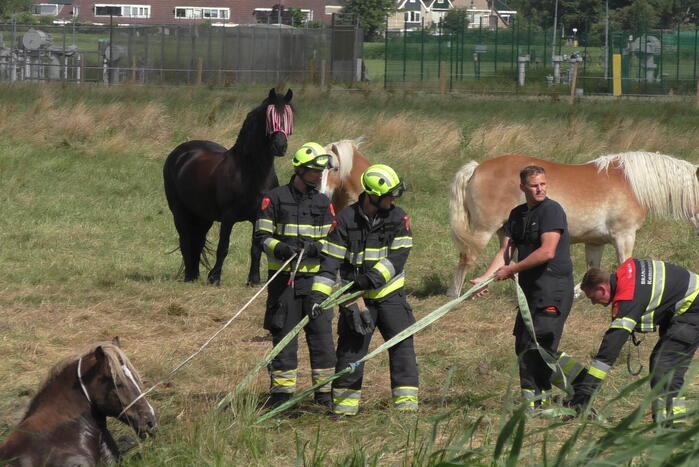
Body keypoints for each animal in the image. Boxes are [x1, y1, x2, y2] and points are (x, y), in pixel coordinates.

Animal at [163, 88, 294, 285]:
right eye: (269, 117)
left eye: (289, 116)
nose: (280, 146)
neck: (250, 172)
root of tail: (179, 153)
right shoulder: (228, 217)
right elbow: (223, 247)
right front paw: (215, 278)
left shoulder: (259, 217)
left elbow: (255, 249)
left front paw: (253, 280)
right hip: (179, 211)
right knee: (185, 239)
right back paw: (189, 276)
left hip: (203, 215)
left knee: (197, 240)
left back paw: (195, 274)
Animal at [448, 152, 699, 297]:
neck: (631, 184)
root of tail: (477, 167)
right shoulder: (624, 235)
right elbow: (625, 263)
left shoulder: (595, 243)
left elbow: (592, 269)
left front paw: (581, 292)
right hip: (483, 231)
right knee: (466, 258)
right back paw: (455, 295)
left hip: (506, 235)